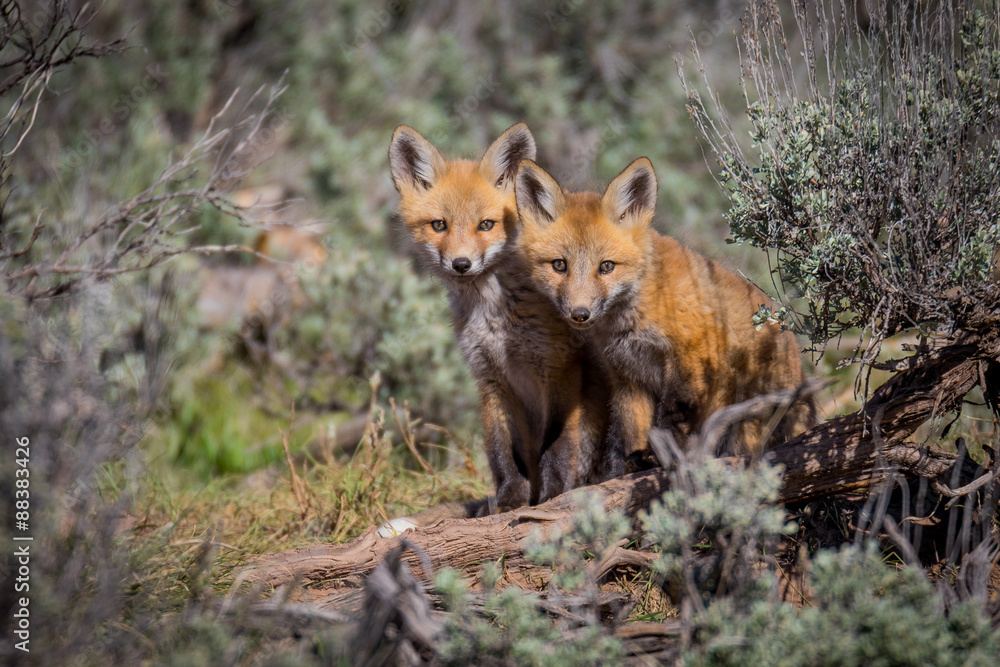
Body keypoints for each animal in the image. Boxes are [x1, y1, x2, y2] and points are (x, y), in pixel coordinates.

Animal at [386, 123, 608, 520]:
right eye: (439, 225)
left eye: (486, 225)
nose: (461, 264)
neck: (494, 317)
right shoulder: (490, 378)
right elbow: (503, 452)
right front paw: (509, 500)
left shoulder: (559, 370)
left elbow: (557, 446)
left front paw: (552, 495)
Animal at [514, 156, 815, 479]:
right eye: (559, 265)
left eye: (606, 266)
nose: (580, 314)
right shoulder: (628, 377)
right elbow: (626, 432)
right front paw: (622, 470)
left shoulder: (692, 359)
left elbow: (672, 419)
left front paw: (660, 460)